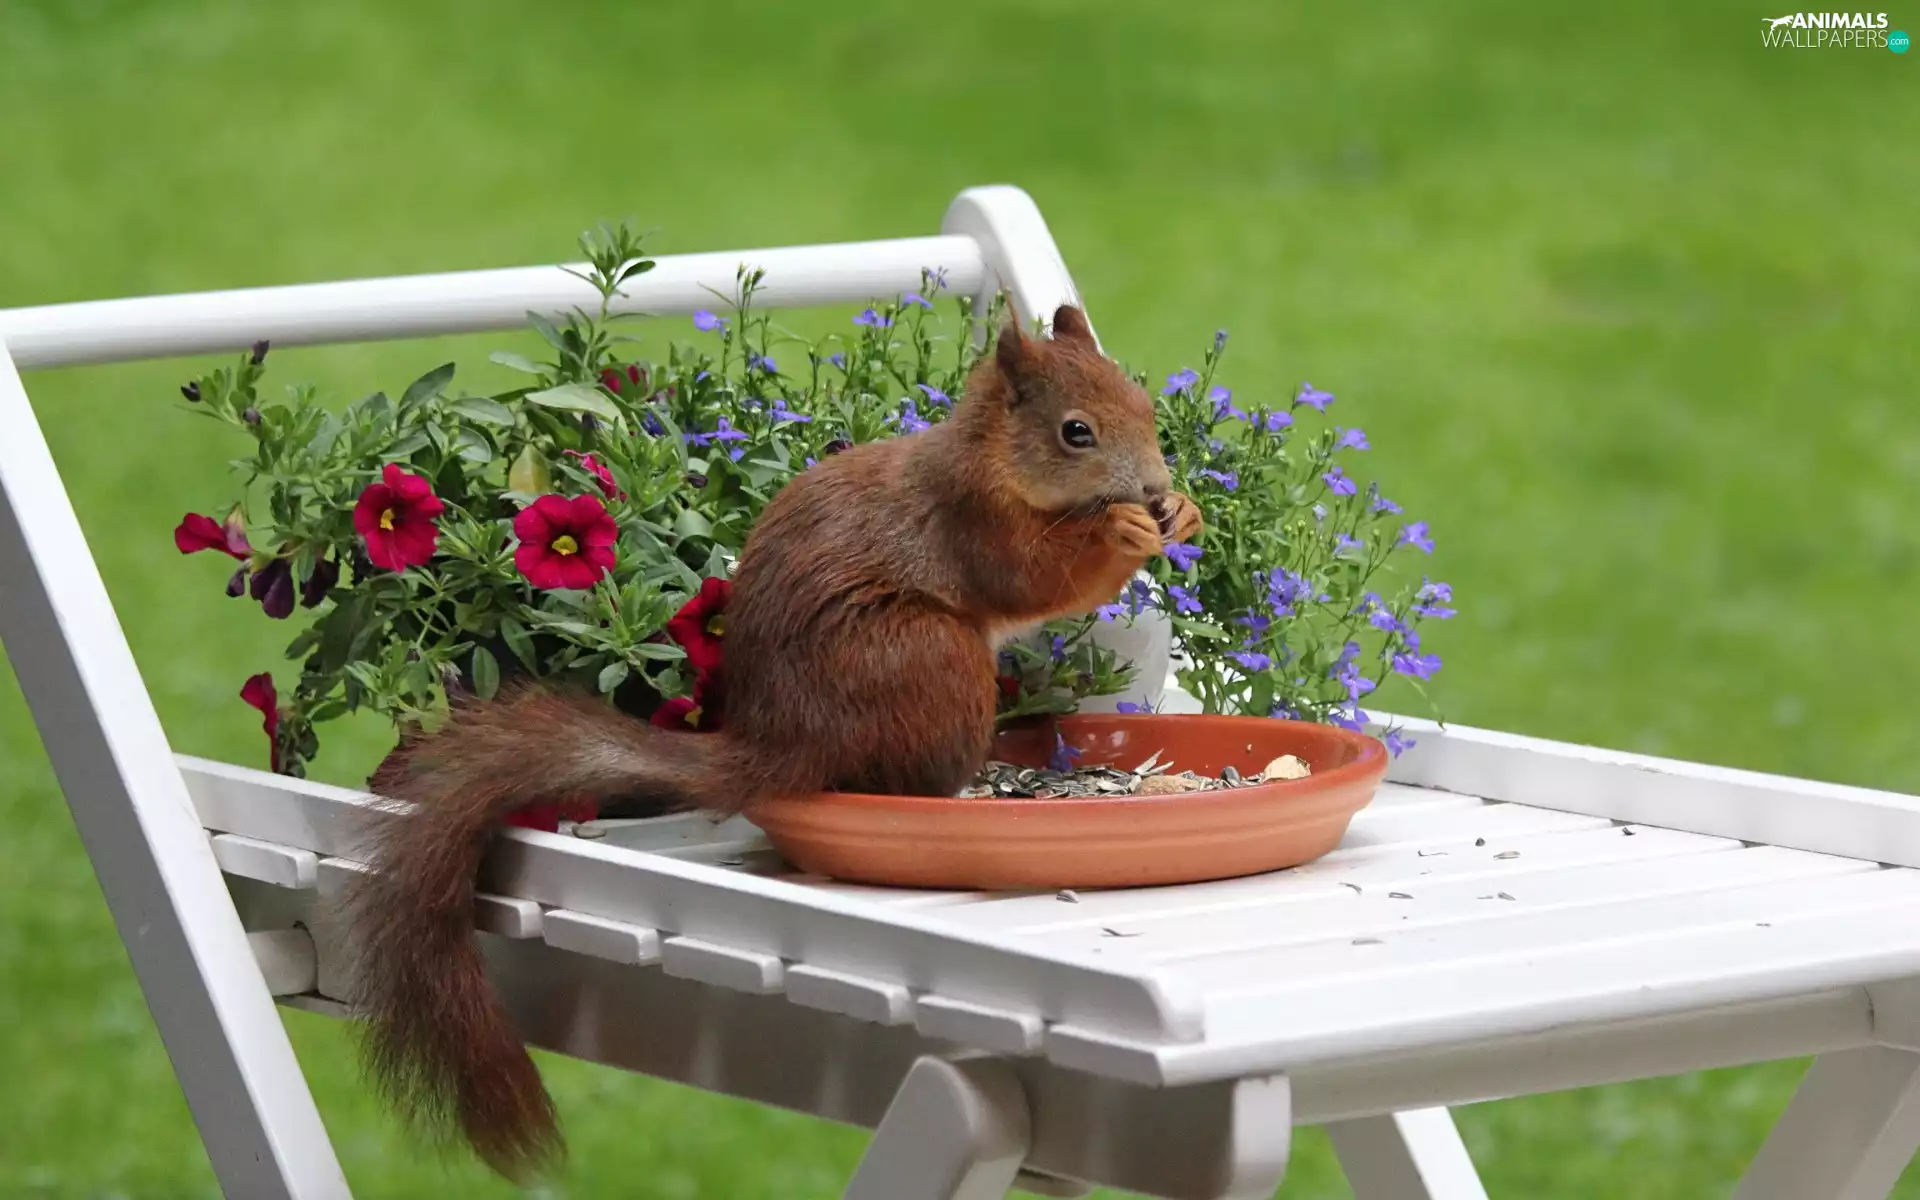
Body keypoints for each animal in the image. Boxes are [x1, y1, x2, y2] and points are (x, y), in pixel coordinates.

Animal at [339, 303, 1205, 1181]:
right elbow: (1036, 579)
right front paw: (1124, 529)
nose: (1154, 488)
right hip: (932, 657)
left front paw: (1185, 511)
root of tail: (784, 743)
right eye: (1075, 432)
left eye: (1143, 404)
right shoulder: (975, 524)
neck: (993, 461)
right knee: (904, 783)